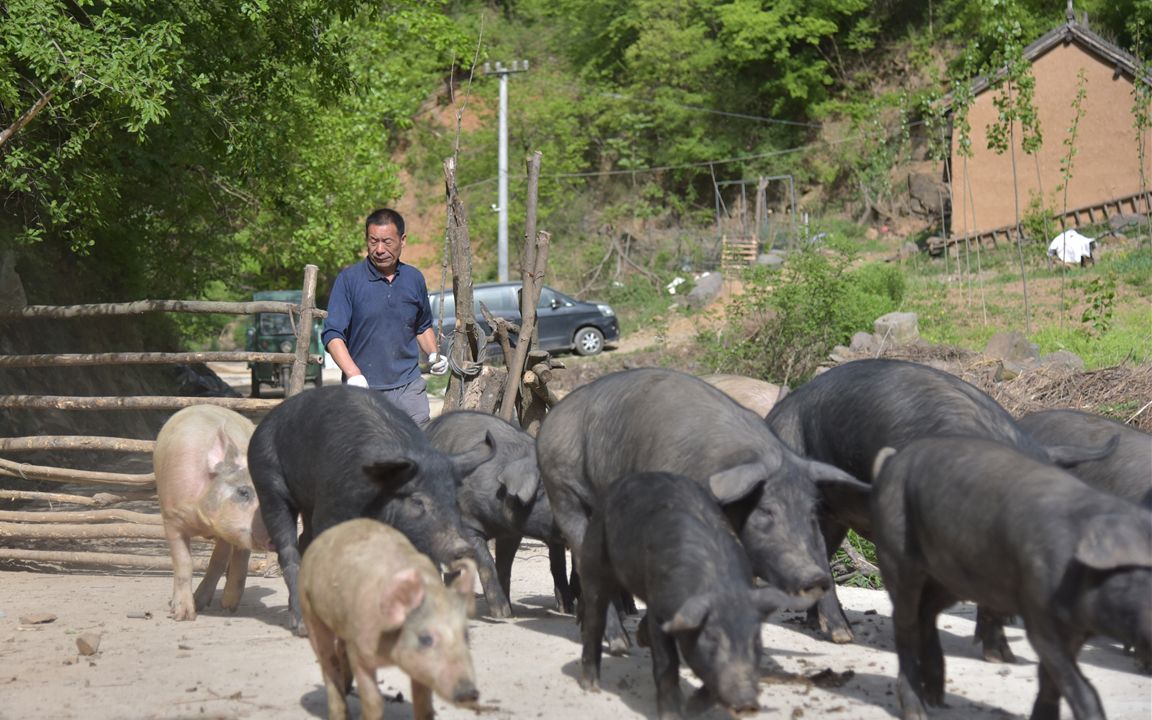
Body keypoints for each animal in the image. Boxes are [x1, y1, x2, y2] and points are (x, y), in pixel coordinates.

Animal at [153, 405, 269, 617]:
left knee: (238, 556)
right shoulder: (171, 518)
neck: (201, 521)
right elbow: (183, 561)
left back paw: (228, 606)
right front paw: (183, 615)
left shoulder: (226, 530)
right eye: (243, 492)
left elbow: (219, 560)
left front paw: (223, 606)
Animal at [247, 384, 490, 631]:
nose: (462, 547)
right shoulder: (331, 511)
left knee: (305, 539)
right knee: (288, 549)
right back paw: (301, 625)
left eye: (454, 500)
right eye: (417, 501)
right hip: (267, 483)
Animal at [423, 410, 571, 617]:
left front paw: (510, 612)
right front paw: (502, 614)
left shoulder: (511, 533)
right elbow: (487, 564)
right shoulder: (467, 525)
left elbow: (504, 566)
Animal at [580, 472, 815, 718]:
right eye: (711, 637)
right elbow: (667, 662)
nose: (747, 703)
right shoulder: (659, 609)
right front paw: (674, 714)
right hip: (593, 557)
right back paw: (591, 686)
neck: (720, 588)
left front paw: (691, 706)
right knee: (594, 617)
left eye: (756, 640)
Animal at [870, 435, 1152, 718]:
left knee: (927, 610)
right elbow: (1078, 686)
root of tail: (894, 460)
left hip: (954, 576)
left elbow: (1050, 681)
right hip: (897, 555)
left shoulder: (1075, 630)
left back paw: (937, 698)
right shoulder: (1039, 615)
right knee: (905, 624)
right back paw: (917, 711)